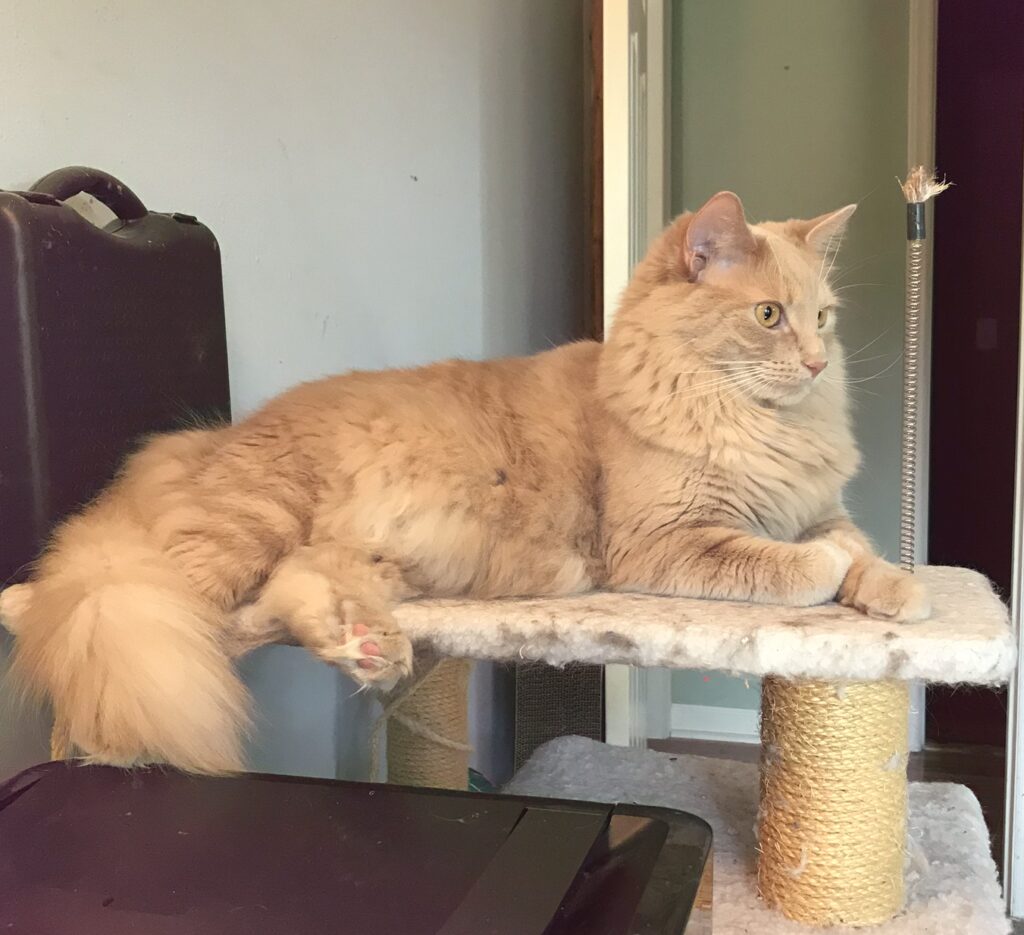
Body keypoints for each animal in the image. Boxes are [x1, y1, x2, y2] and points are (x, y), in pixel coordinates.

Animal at [0, 191, 929, 774]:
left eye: (822, 319)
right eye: (768, 316)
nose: (815, 361)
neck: (765, 424)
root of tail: (202, 441)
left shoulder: (817, 507)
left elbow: (859, 547)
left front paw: (900, 591)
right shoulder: (665, 542)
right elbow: (789, 565)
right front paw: (833, 581)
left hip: (351, 565)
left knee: (277, 602)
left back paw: (369, 647)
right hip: (230, 538)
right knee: (108, 637)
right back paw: (90, 746)